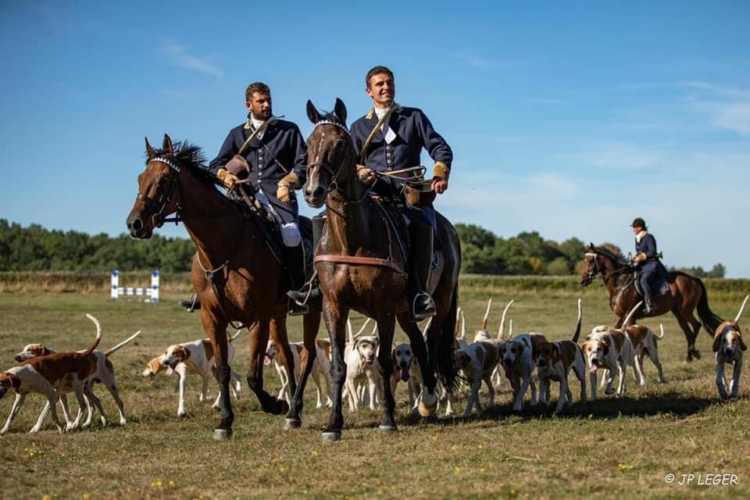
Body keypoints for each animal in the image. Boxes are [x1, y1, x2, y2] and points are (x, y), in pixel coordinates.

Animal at [124, 135, 324, 440]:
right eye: (140, 178)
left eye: (163, 179)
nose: (135, 224)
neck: (224, 246)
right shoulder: (212, 318)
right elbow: (222, 370)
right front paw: (225, 421)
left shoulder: (257, 318)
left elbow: (253, 375)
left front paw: (273, 404)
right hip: (278, 316)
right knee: (289, 357)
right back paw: (294, 411)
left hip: (311, 309)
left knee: (307, 355)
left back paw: (291, 407)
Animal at [302, 98, 462, 442]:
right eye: (309, 143)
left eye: (341, 144)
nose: (313, 191)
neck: (351, 239)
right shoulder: (334, 306)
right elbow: (338, 367)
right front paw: (333, 424)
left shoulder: (385, 308)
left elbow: (388, 363)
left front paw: (388, 419)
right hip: (405, 311)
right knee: (419, 345)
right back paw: (425, 403)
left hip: (439, 302)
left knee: (430, 343)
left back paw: (429, 400)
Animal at [580, 244, 724, 362]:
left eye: (591, 260)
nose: (582, 280)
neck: (620, 283)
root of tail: (693, 279)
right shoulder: (620, 316)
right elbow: (613, 331)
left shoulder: (630, 315)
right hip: (677, 312)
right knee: (687, 330)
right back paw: (689, 356)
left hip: (685, 310)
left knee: (696, 325)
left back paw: (693, 352)